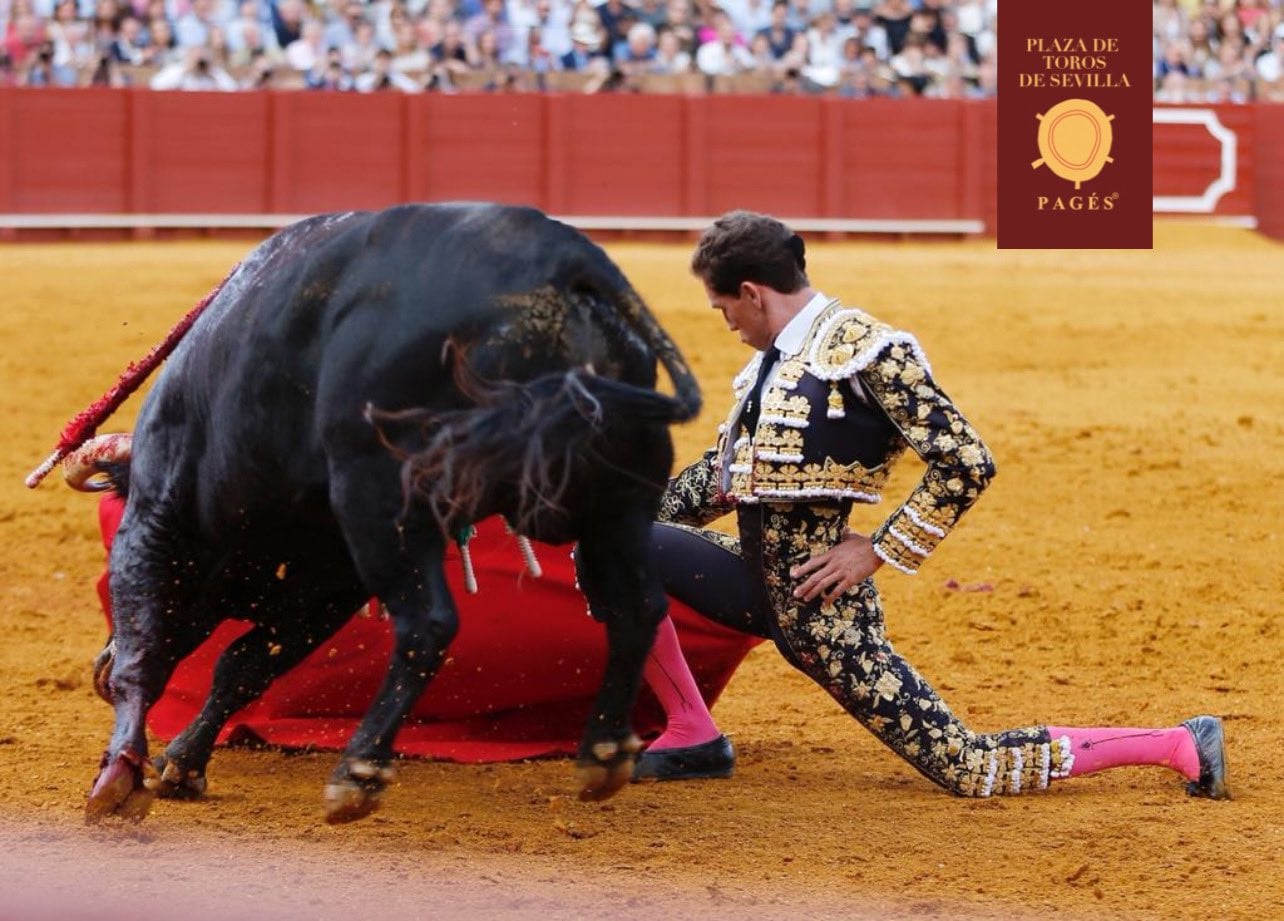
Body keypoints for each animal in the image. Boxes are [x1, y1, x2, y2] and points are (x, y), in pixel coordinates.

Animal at [67, 204, 703, 822]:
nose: (95, 668)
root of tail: (568, 264)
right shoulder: (327, 588)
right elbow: (242, 666)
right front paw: (183, 765)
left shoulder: (160, 522)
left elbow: (148, 651)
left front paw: (119, 777)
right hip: (618, 504)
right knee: (638, 606)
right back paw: (603, 755)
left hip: (384, 502)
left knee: (430, 623)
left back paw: (359, 772)